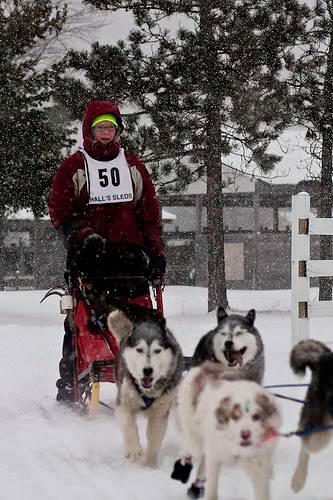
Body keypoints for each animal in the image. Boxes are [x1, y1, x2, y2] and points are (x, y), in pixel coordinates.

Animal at [172, 364, 282, 500]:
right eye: (235, 416)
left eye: (256, 417)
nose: (245, 434)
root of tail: (202, 366)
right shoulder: (215, 455)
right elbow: (212, 487)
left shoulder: (259, 465)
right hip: (194, 435)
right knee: (190, 450)